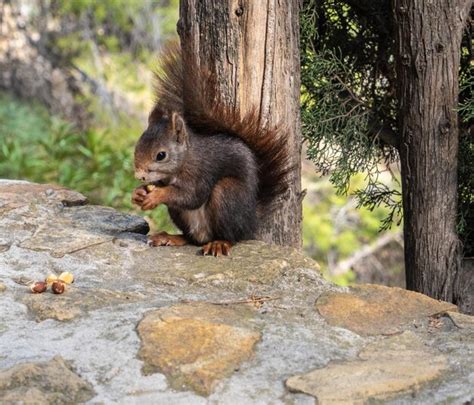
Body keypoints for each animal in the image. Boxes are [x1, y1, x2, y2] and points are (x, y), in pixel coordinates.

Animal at [132, 46, 288, 256]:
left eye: (161, 155)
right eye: (138, 146)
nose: (139, 175)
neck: (186, 159)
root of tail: (250, 223)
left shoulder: (202, 172)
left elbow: (191, 196)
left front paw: (157, 195)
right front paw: (138, 193)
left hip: (226, 195)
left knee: (230, 235)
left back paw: (220, 243)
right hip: (179, 214)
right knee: (192, 239)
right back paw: (172, 237)